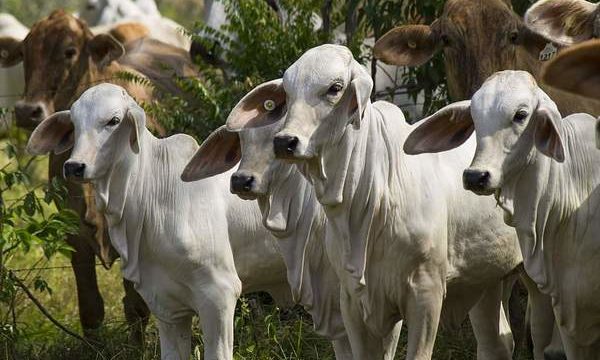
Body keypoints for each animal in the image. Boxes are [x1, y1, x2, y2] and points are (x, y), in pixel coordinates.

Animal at [0, 9, 198, 338]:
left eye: (70, 51)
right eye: (25, 53)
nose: (27, 111)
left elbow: (136, 308)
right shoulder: (74, 236)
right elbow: (91, 310)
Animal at [223, 45, 524, 360]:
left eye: (335, 88)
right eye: (288, 92)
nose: (285, 142)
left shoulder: (424, 293)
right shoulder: (352, 300)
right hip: (488, 278)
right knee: (496, 342)